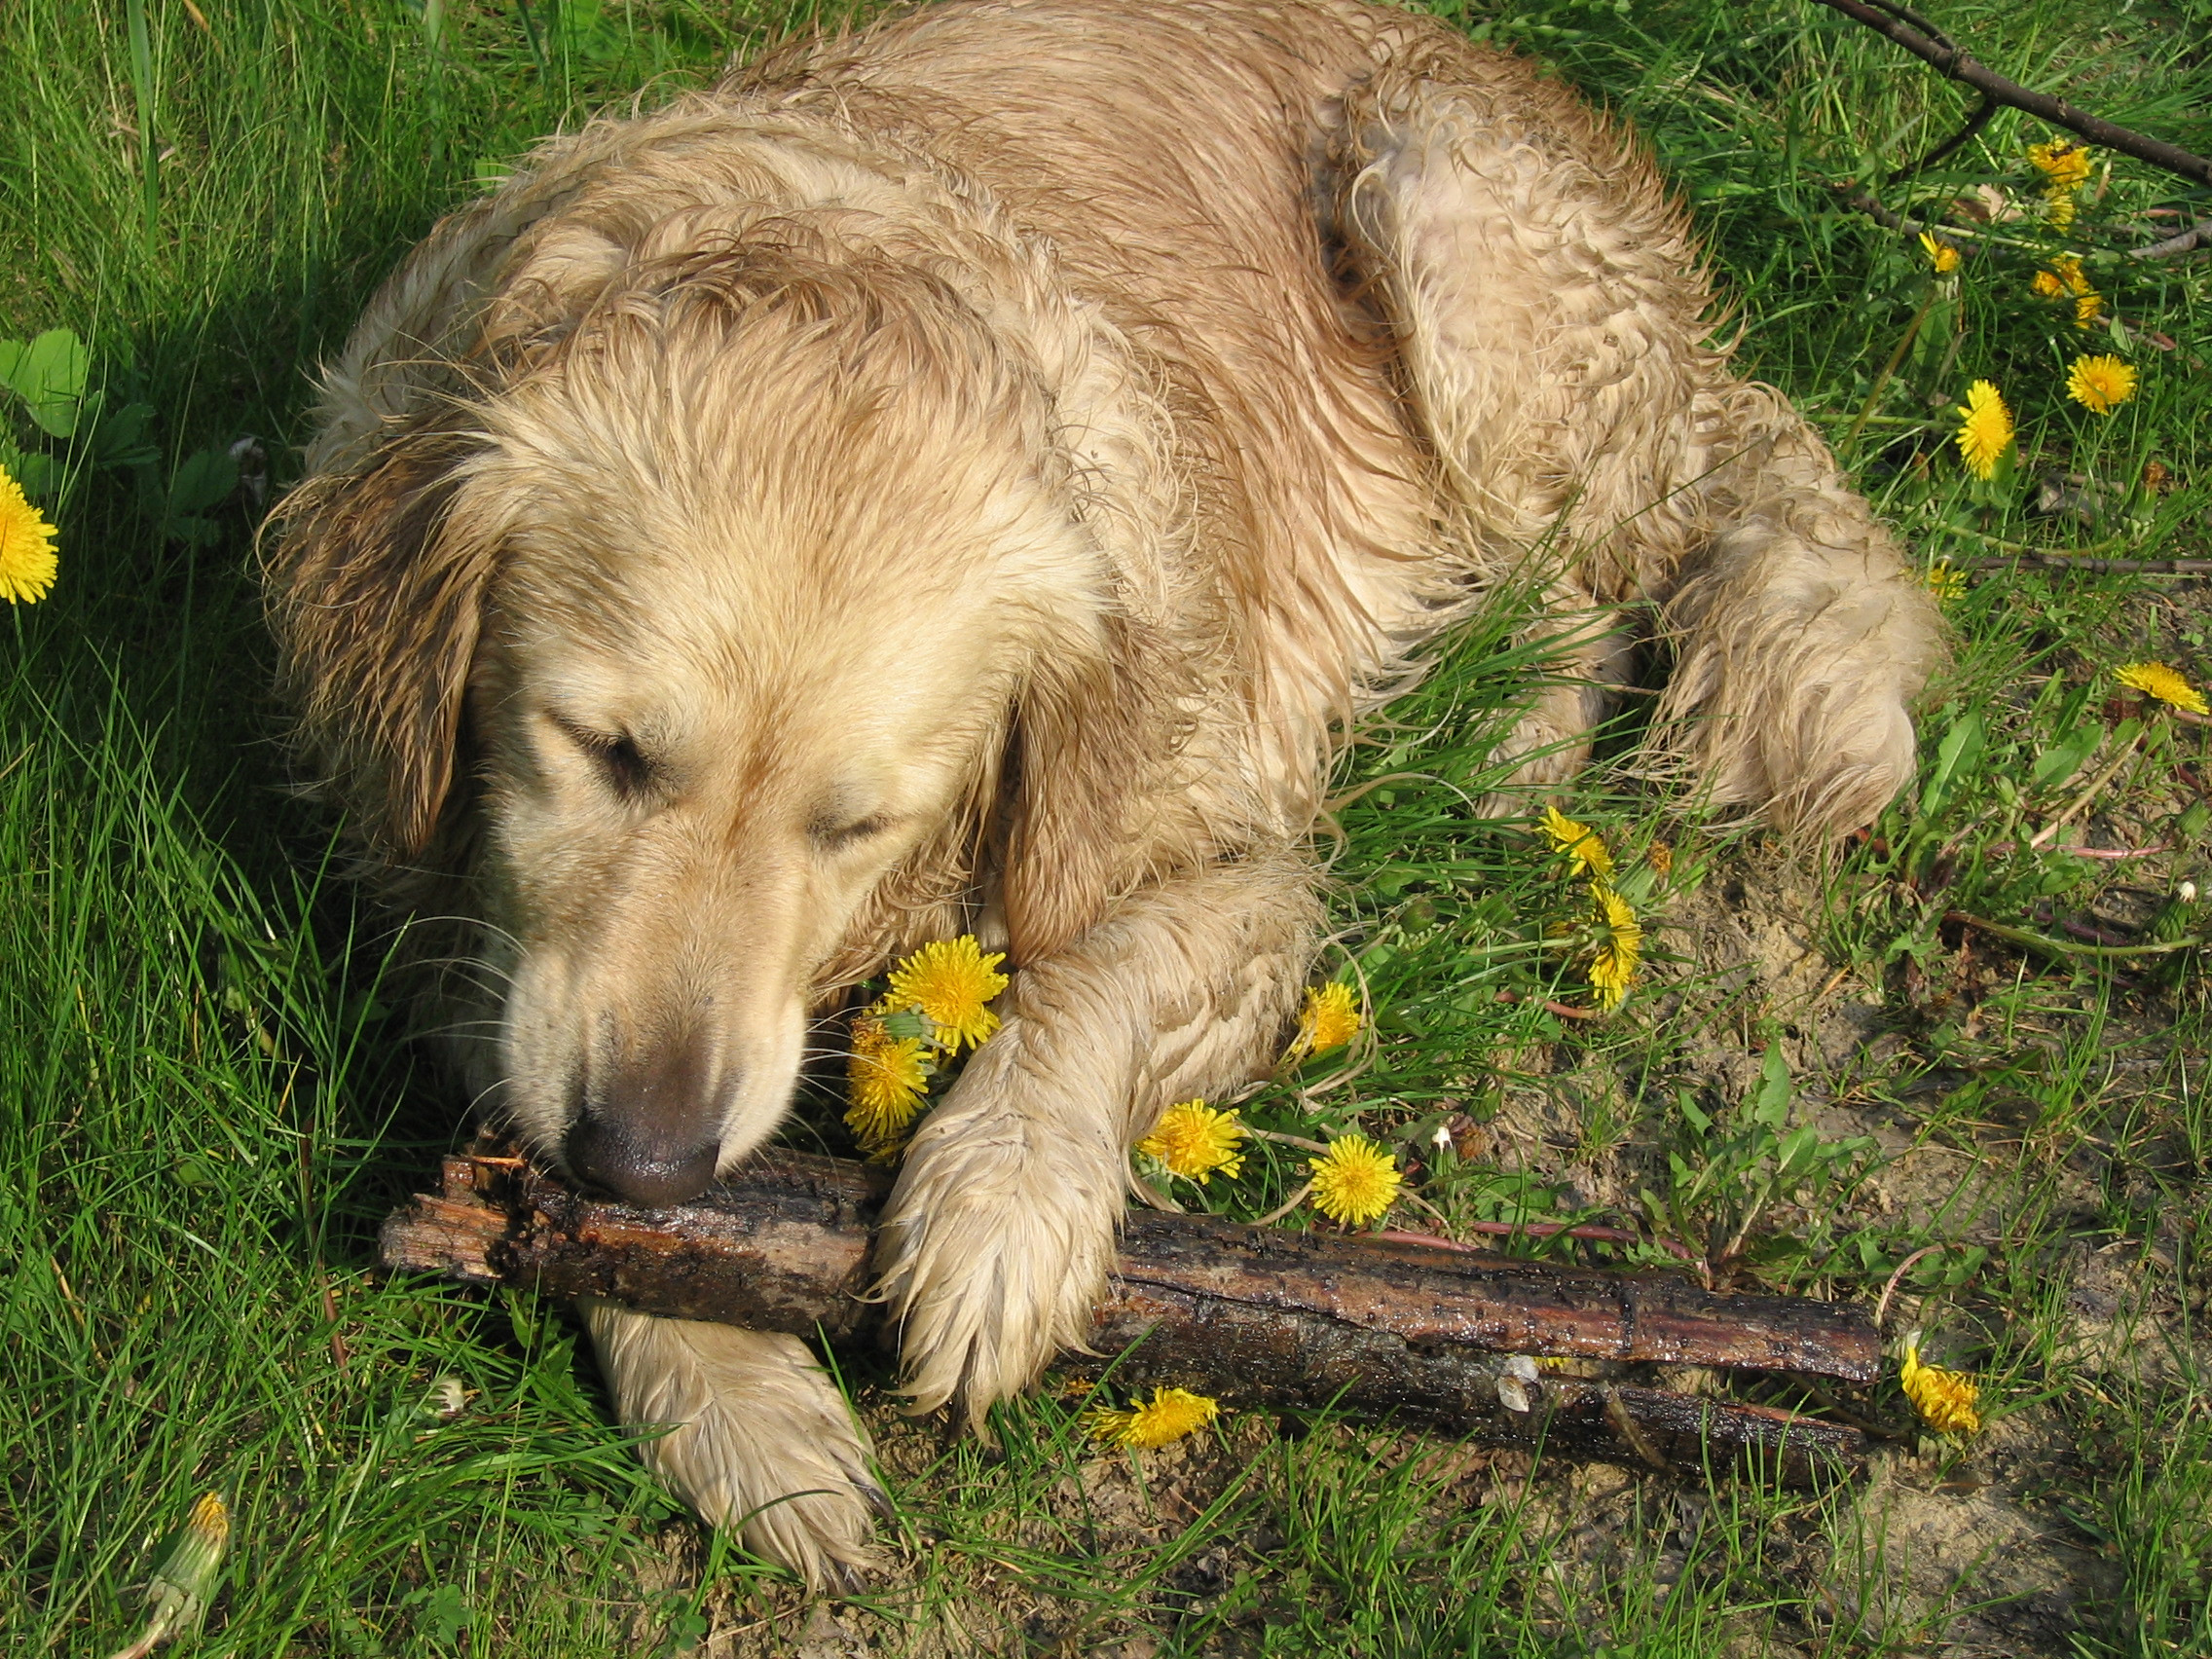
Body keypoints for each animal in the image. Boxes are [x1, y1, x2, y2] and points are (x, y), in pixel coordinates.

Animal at [272, 0, 1937, 1592]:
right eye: (603, 749)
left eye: (854, 825)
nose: (647, 1155)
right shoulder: (437, 877)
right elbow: (544, 1157)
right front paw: (740, 1400)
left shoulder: (1236, 859)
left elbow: (1102, 971)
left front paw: (1002, 1205)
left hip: (1449, 226)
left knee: (1628, 542)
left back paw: (1521, 731)